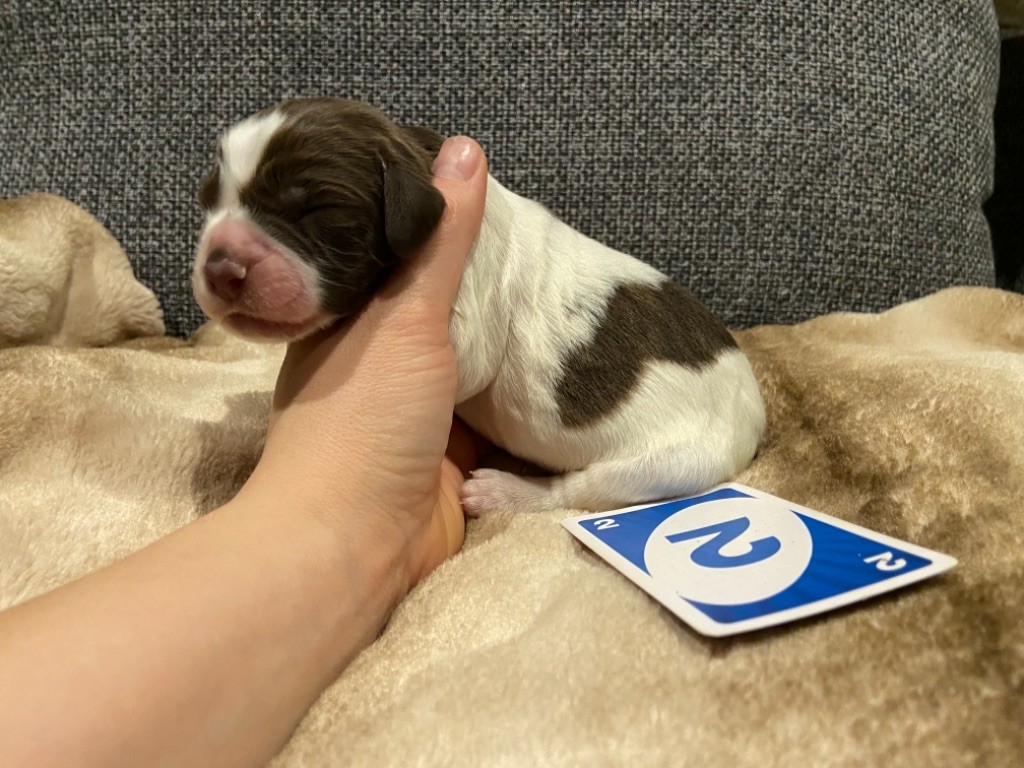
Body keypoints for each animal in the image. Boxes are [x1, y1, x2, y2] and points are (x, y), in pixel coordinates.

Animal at [193, 97, 770, 518]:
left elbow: (470, 365)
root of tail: (756, 416)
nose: (219, 269)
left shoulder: (472, 309)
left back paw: (504, 493)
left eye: (315, 209)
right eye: (208, 199)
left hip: (667, 461)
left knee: (578, 492)